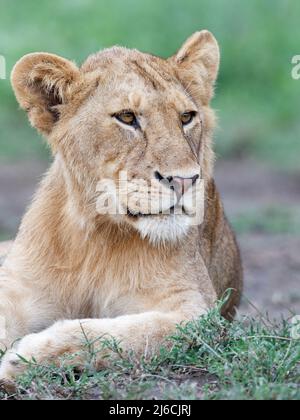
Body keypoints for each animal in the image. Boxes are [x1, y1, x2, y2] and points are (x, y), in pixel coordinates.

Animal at [0, 29, 243, 384]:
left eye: (186, 117)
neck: (98, 236)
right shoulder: (18, 288)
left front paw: (27, 356)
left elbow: (119, 334)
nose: (185, 181)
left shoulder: (198, 313)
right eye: (127, 117)